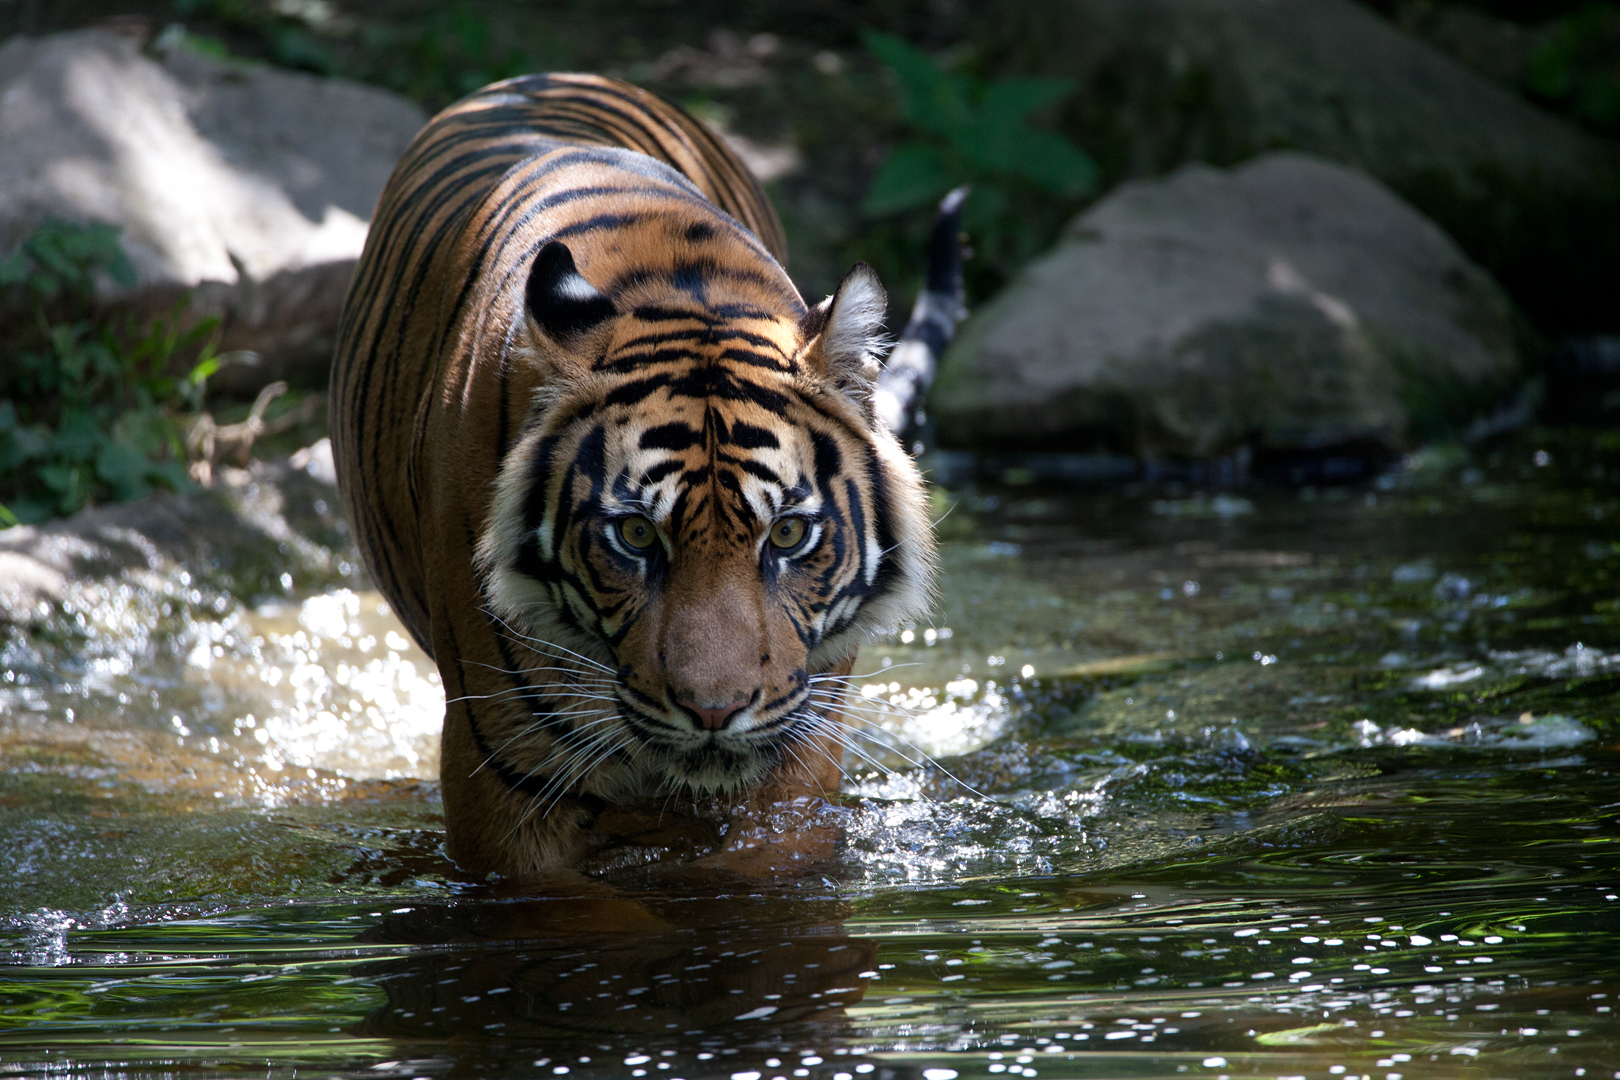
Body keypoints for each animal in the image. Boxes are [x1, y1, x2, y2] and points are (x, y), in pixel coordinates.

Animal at [330, 73, 959, 878]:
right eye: (633, 535)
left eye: (788, 535)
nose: (715, 711)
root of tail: (550, 77)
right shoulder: (500, 783)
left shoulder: (797, 770)